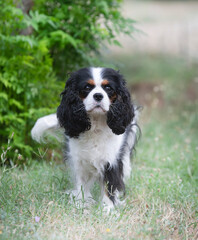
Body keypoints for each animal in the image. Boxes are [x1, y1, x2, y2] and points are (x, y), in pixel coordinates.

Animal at [31, 66, 139, 211]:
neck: (96, 123)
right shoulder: (79, 160)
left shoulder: (111, 159)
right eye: (87, 87)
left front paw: (108, 208)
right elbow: (81, 184)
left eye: (108, 88)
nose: (98, 95)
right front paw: (80, 203)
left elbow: (109, 185)